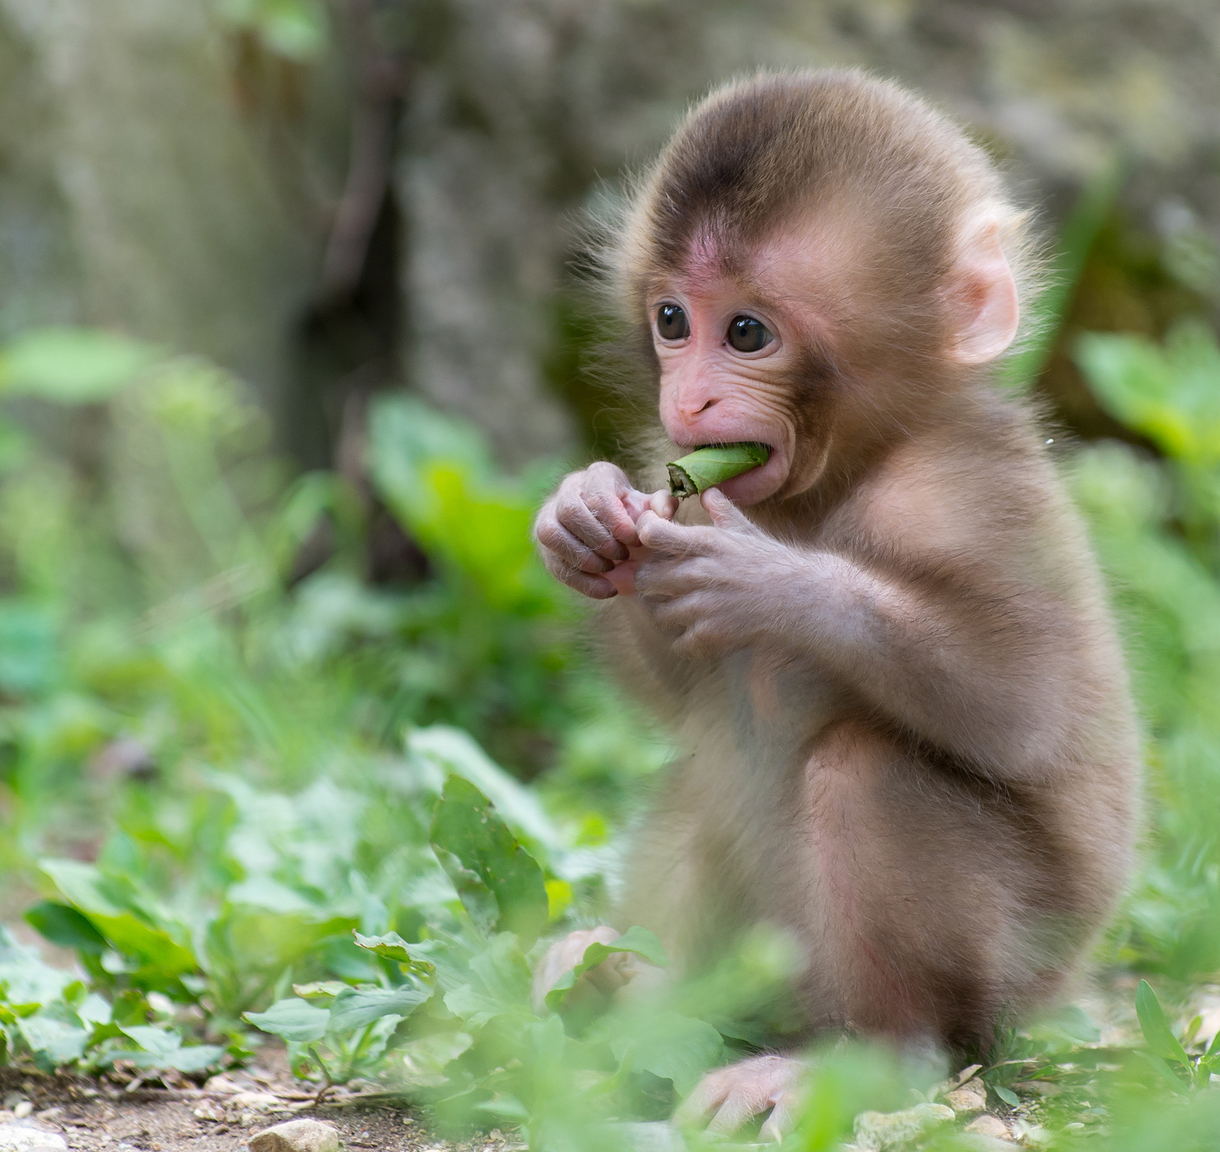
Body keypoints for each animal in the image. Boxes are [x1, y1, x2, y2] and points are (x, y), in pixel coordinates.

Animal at [529, 67, 1137, 1137]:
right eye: (672, 321)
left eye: (747, 332)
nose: (687, 402)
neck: (851, 465)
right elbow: (679, 685)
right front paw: (587, 516)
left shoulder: (969, 489)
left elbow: (1024, 702)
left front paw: (770, 581)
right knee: (709, 770)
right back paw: (628, 988)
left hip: (1013, 977)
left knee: (863, 770)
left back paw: (869, 1060)